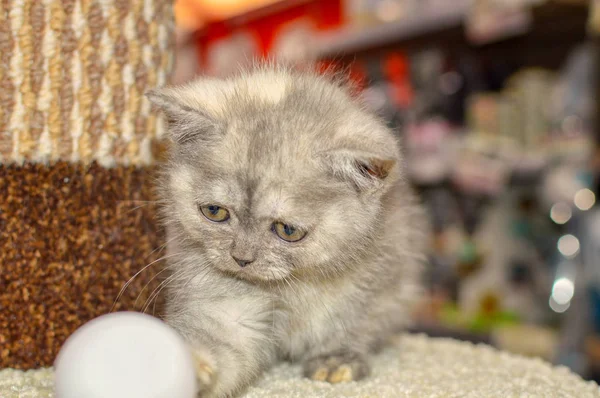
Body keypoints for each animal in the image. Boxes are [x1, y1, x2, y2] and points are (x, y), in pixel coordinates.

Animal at [146, 63, 426, 396]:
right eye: (215, 212)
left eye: (287, 230)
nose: (241, 258)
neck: (298, 283)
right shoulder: (221, 298)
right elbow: (221, 338)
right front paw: (189, 365)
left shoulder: (381, 281)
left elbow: (354, 322)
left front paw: (336, 359)